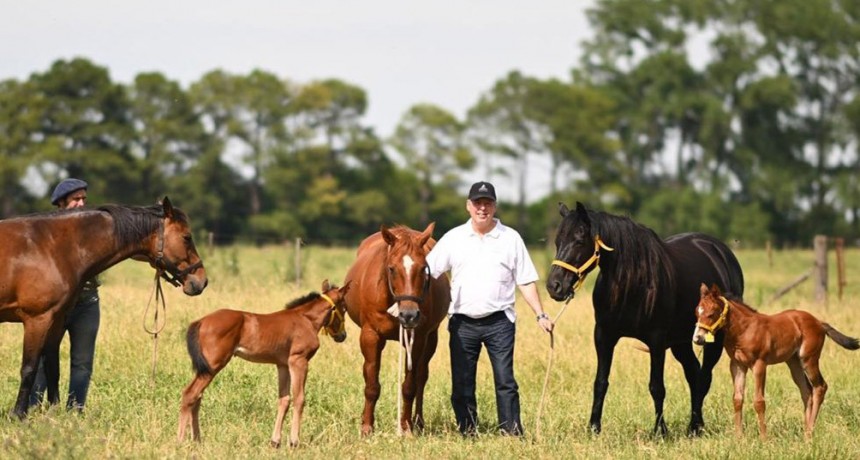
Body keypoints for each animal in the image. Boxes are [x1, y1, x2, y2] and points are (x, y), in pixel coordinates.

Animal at [0, 197, 207, 418]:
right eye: (187, 237)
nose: (201, 281)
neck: (50, 247)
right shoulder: (37, 319)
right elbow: (29, 368)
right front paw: (18, 415)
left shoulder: (56, 320)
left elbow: (52, 367)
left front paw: (53, 412)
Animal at [178, 280, 350, 448]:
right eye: (344, 308)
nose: (342, 336)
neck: (306, 320)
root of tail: (200, 321)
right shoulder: (298, 361)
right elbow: (299, 398)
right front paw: (294, 441)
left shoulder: (283, 365)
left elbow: (284, 400)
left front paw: (275, 441)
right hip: (213, 365)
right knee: (190, 394)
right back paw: (180, 440)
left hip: (206, 368)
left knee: (197, 396)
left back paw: (197, 440)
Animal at [343, 223, 450, 436]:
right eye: (392, 268)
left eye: (423, 268)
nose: (409, 315)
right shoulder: (371, 336)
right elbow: (371, 384)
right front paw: (367, 427)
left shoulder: (418, 339)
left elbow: (410, 386)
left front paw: (406, 427)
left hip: (431, 339)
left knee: (421, 378)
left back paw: (418, 422)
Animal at [545, 202, 745, 436]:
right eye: (558, 241)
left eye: (579, 240)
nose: (554, 286)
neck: (632, 281)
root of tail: (721, 252)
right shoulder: (604, 336)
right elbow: (600, 382)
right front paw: (594, 428)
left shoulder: (656, 340)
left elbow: (656, 387)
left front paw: (660, 431)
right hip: (681, 342)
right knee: (694, 374)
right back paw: (696, 425)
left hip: (714, 339)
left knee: (704, 378)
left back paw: (695, 427)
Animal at [693, 283, 859, 440]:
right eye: (697, 312)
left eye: (711, 314)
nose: (698, 339)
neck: (744, 330)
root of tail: (819, 322)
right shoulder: (737, 365)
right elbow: (737, 399)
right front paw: (739, 438)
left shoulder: (759, 364)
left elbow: (759, 401)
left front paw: (764, 439)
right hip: (794, 363)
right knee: (806, 391)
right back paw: (805, 434)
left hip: (809, 359)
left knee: (820, 387)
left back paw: (810, 432)